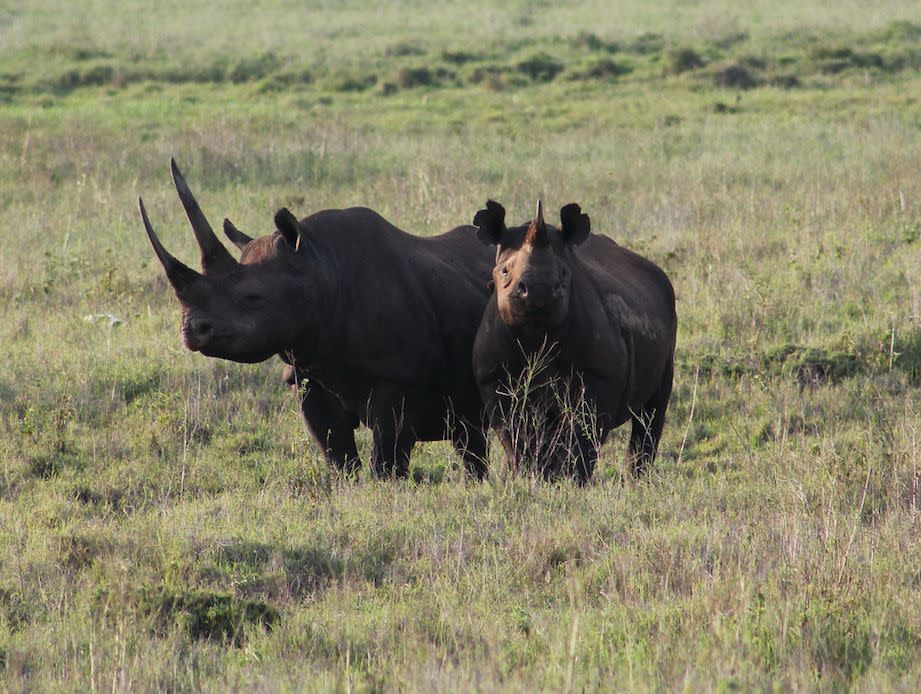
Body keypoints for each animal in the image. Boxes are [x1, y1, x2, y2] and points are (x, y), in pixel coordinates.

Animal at [137, 160, 492, 482]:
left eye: (253, 297)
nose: (191, 329)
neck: (319, 267)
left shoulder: (398, 378)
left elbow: (387, 461)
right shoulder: (308, 373)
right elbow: (339, 457)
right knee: (470, 433)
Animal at [468, 201, 676, 484]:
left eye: (565, 273)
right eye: (504, 271)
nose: (538, 290)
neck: (536, 332)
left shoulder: (600, 377)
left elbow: (583, 434)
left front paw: (572, 480)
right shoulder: (495, 379)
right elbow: (515, 435)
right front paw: (529, 476)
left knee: (652, 411)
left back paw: (637, 480)